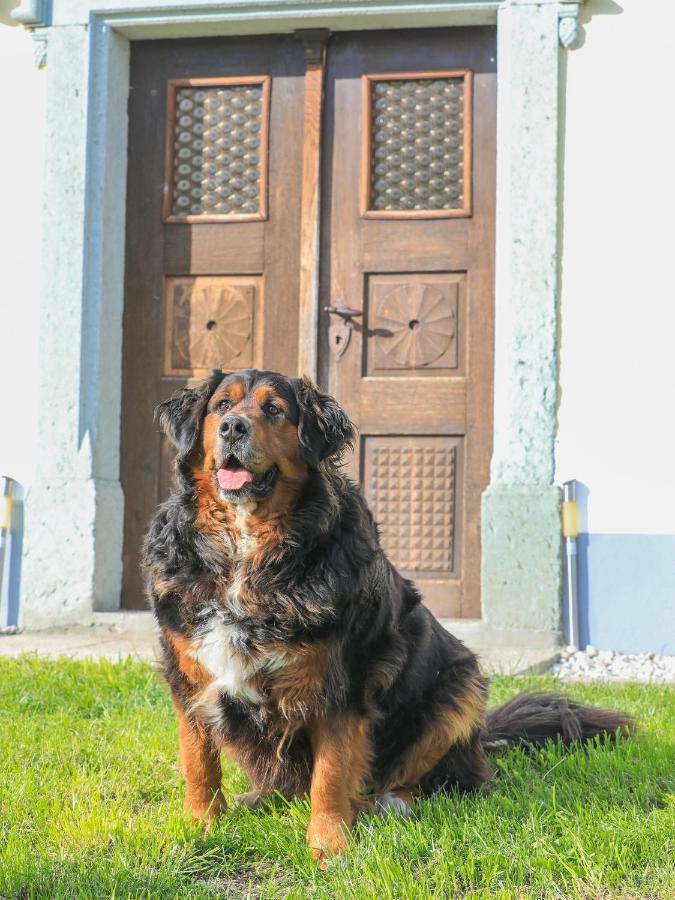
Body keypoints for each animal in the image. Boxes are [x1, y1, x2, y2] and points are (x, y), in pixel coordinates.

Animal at [143, 368, 632, 864]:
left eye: (274, 410)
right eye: (221, 406)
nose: (232, 428)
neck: (246, 551)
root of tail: (481, 738)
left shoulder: (340, 683)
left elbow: (330, 774)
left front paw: (329, 844)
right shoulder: (188, 677)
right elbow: (198, 762)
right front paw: (201, 826)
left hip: (460, 690)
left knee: (447, 780)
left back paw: (391, 802)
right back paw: (258, 798)